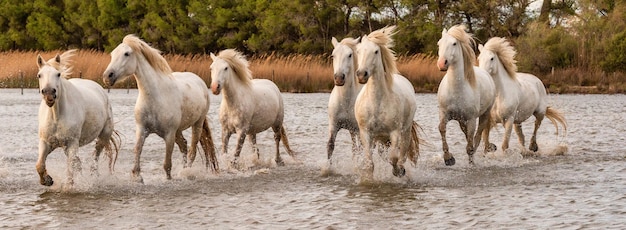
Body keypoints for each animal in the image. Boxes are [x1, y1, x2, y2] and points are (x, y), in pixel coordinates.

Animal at [36, 50, 119, 187]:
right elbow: (40, 165)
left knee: (95, 156)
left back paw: (94, 176)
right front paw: (47, 180)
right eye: (39, 75)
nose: (49, 94)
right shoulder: (46, 142)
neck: (56, 116)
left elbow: (70, 174)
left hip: (103, 136)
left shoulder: (72, 144)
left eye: (58, 74)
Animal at [102, 34, 217, 181]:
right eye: (112, 54)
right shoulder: (142, 130)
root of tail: (200, 81)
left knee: (192, 150)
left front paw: (168, 178)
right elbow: (137, 150)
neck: (155, 97)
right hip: (178, 130)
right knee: (184, 146)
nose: (107, 76)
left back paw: (186, 172)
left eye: (126, 54)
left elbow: (167, 164)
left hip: (197, 124)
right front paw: (137, 176)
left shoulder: (169, 135)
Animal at [326, 36, 360, 165]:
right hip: (352, 130)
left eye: (350, 55)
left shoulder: (359, 129)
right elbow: (330, 146)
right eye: (333, 56)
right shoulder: (333, 126)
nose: (339, 78)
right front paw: (327, 167)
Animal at [356, 26, 420, 179]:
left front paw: (398, 172)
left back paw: (402, 170)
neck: (377, 103)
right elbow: (370, 164)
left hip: (405, 132)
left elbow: (393, 158)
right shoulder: (366, 134)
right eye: (358, 51)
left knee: (402, 154)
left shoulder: (394, 132)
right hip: (380, 139)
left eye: (376, 51)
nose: (361, 75)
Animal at [436, 24, 494, 165]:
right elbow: (442, 128)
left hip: (485, 113)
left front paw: (470, 160)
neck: (456, 90)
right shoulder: (444, 113)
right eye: (439, 43)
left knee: (478, 134)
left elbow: (471, 141)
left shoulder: (471, 119)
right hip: (461, 120)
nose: (441, 63)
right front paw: (448, 158)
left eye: (454, 43)